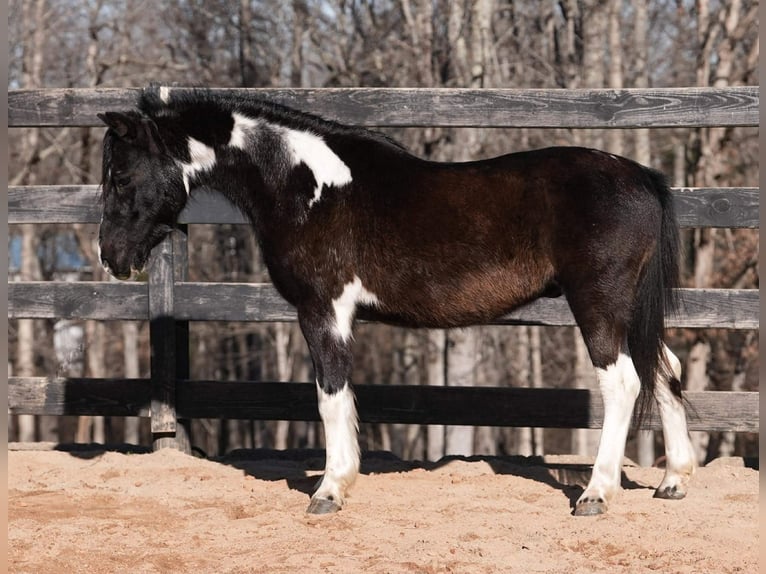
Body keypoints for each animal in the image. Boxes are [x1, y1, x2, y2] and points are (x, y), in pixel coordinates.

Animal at [97, 85, 697, 516]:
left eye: (121, 176)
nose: (111, 256)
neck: (308, 186)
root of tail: (642, 176)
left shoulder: (323, 310)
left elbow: (330, 396)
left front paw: (329, 491)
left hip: (599, 303)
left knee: (624, 382)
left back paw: (595, 494)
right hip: (631, 310)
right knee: (665, 368)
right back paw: (673, 482)